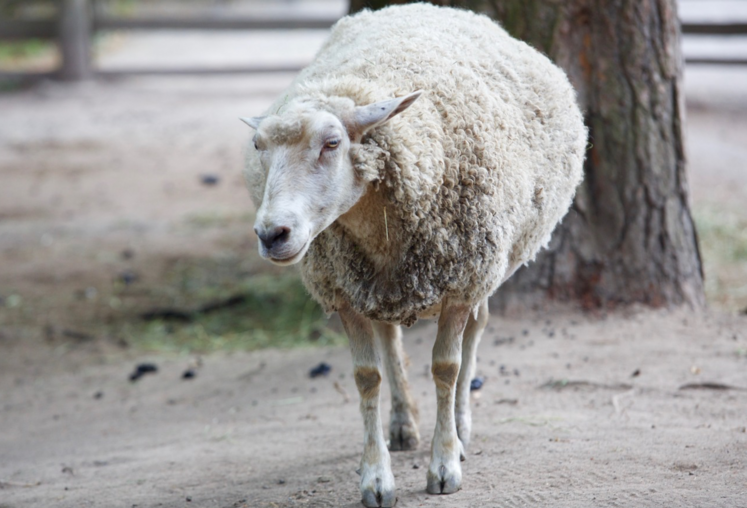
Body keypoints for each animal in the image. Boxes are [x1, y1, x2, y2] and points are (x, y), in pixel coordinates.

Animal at [241, 4, 586, 506]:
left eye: (332, 143)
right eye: (258, 147)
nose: (271, 234)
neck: (376, 229)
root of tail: (423, 7)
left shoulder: (462, 281)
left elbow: (447, 366)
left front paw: (444, 466)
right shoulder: (344, 291)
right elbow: (367, 376)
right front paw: (376, 477)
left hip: (485, 269)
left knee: (475, 335)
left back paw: (460, 427)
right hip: (378, 287)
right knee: (390, 338)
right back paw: (402, 424)